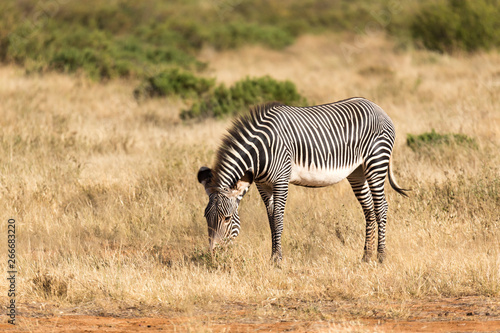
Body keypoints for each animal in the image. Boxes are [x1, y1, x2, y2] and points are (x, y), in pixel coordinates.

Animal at [197, 96, 408, 262]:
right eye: (206, 217)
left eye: (227, 218)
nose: (213, 254)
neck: (260, 152)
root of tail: (377, 107)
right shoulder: (262, 185)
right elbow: (271, 219)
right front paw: (273, 257)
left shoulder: (281, 180)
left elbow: (278, 218)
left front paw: (277, 260)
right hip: (357, 172)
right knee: (369, 209)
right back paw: (366, 256)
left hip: (376, 163)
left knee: (381, 207)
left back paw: (381, 256)